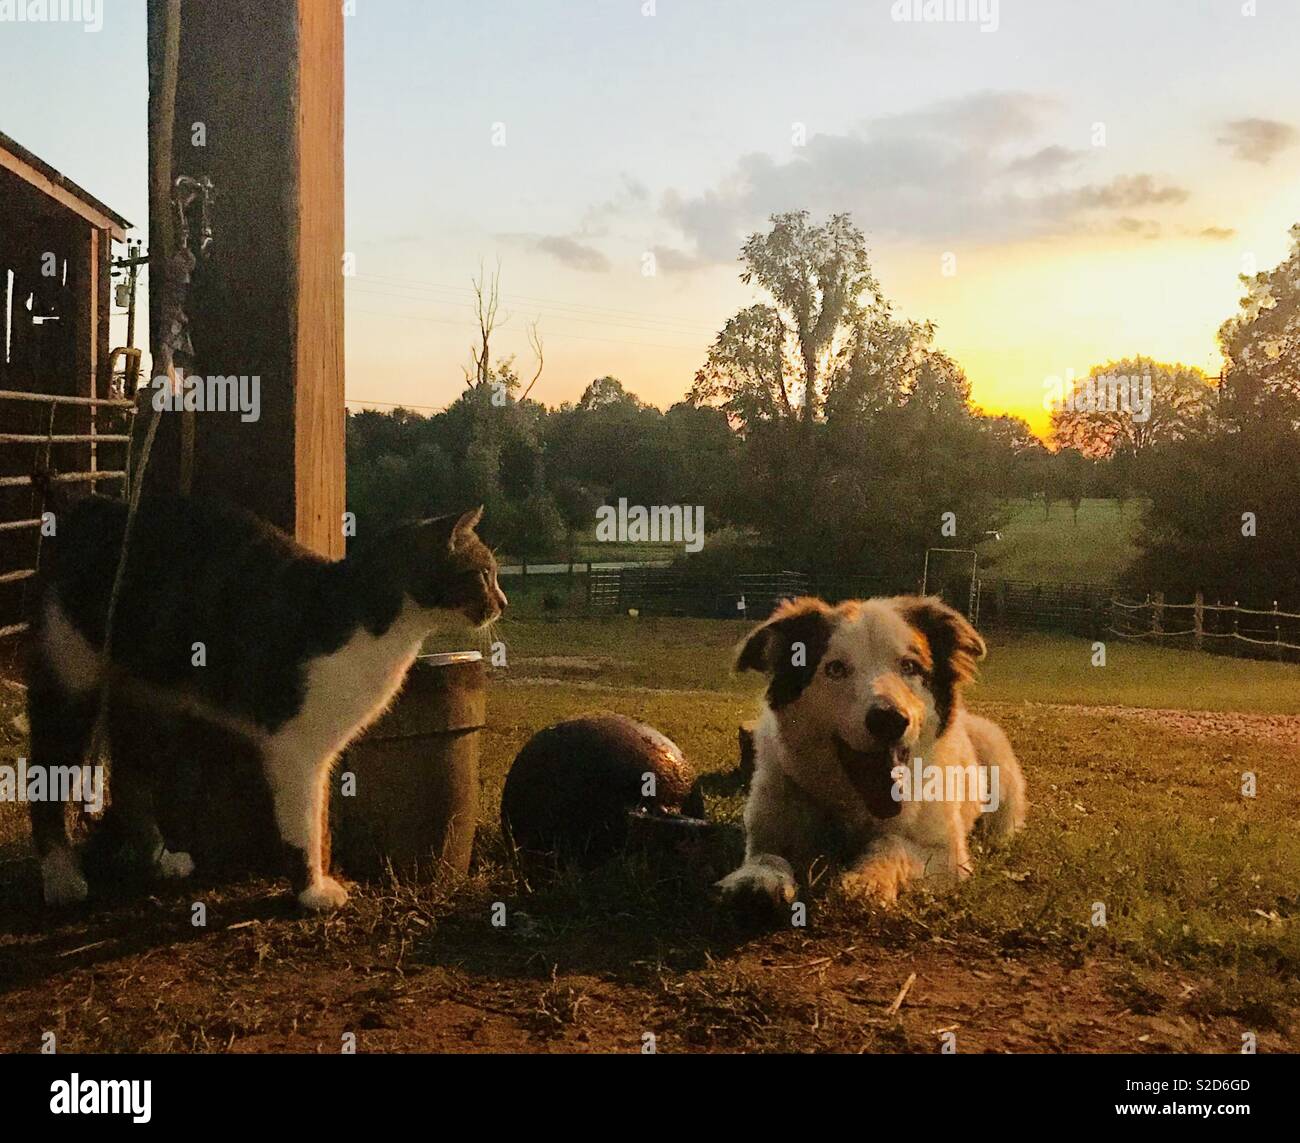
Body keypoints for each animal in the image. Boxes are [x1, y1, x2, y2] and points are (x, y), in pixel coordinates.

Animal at [26, 491, 501, 910]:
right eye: (484, 573)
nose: (503, 601)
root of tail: (88, 506)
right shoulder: (296, 747)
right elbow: (304, 823)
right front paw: (311, 891)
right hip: (69, 685)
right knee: (46, 777)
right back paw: (61, 879)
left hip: (152, 703)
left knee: (130, 781)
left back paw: (159, 859)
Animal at [712, 598, 1024, 910]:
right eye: (835, 669)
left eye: (909, 666)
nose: (889, 720)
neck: (857, 805)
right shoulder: (773, 824)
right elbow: (768, 855)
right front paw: (757, 878)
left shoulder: (948, 856)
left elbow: (892, 844)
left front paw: (868, 878)